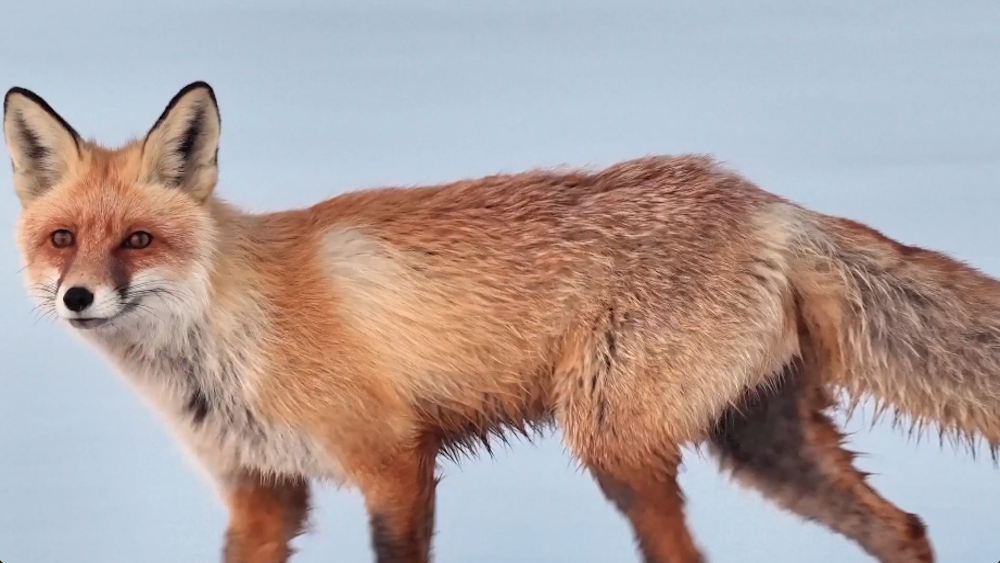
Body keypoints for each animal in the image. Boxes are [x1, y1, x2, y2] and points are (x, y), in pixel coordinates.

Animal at [4, 81, 999, 563]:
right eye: (63, 239)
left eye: (138, 239)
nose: (78, 297)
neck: (218, 345)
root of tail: (762, 198)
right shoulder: (261, 492)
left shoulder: (393, 462)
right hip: (763, 443)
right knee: (905, 528)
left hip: (614, 438)